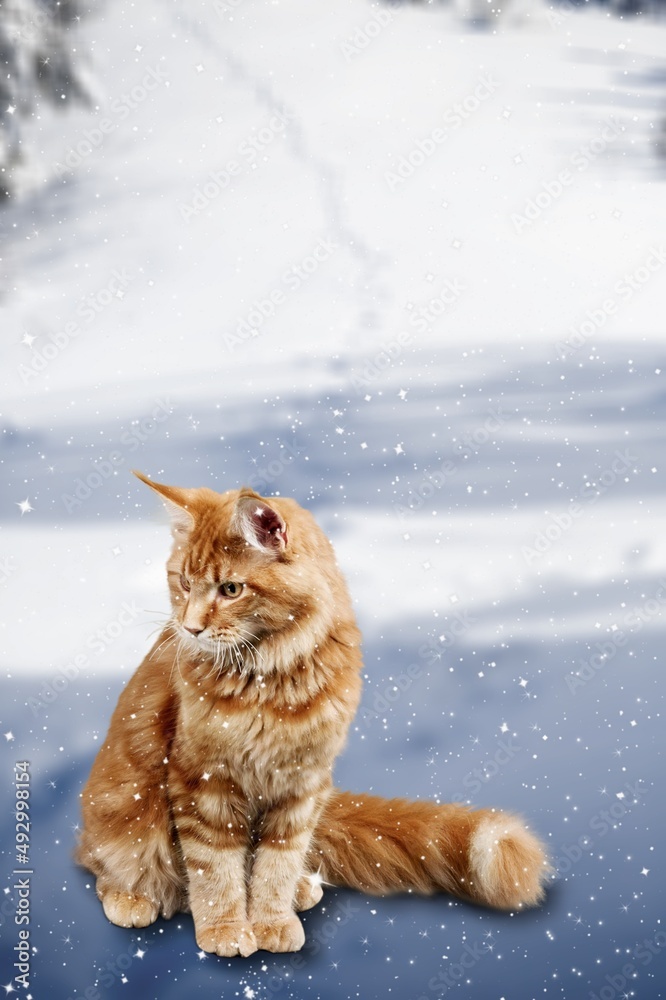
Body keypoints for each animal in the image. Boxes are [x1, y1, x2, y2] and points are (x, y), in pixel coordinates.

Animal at [75, 472, 548, 956]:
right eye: (184, 584)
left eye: (231, 589)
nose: (190, 628)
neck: (270, 682)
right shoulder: (201, 779)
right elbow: (214, 866)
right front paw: (226, 928)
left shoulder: (302, 785)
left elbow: (276, 864)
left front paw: (271, 920)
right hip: (123, 811)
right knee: (108, 865)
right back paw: (133, 898)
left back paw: (302, 889)